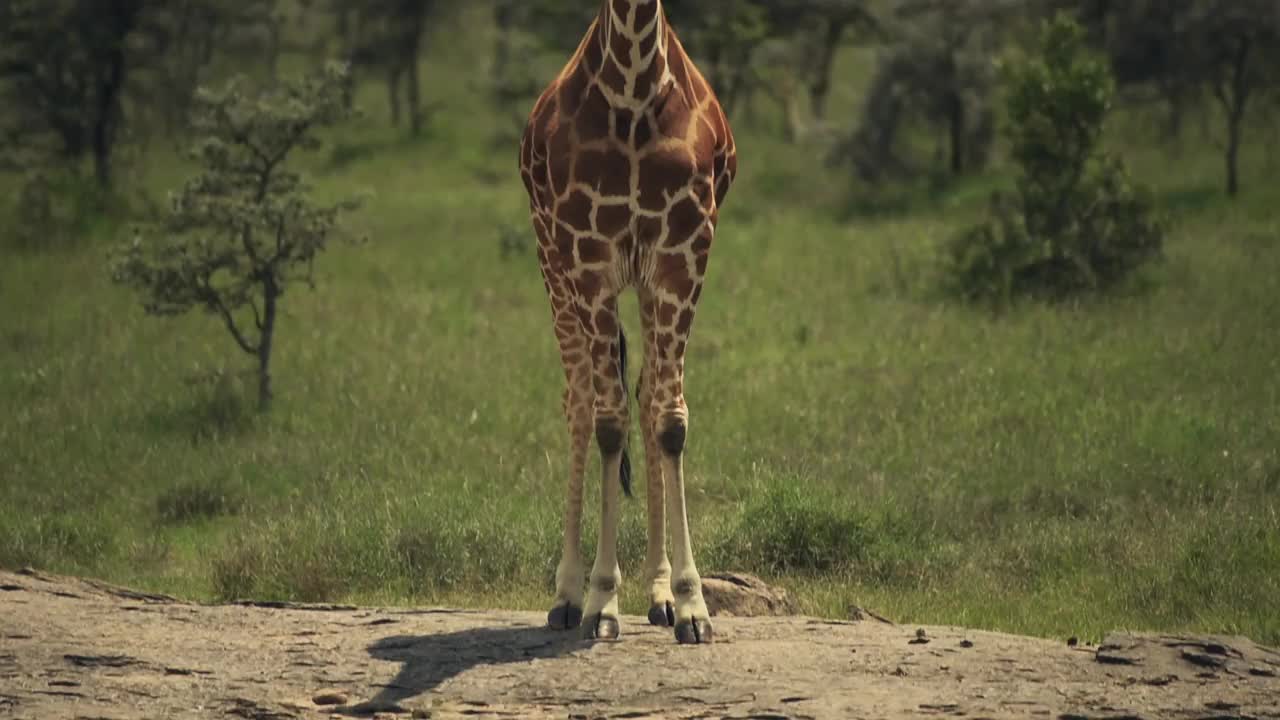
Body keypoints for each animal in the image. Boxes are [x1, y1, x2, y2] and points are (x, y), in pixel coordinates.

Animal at [514, 0, 737, 638]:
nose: (675, 597)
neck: (635, 87)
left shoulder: (683, 255)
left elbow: (669, 417)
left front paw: (689, 603)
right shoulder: (589, 256)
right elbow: (608, 422)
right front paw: (600, 601)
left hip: (637, 282)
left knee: (643, 392)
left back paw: (658, 594)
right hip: (550, 259)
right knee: (580, 403)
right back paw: (566, 594)